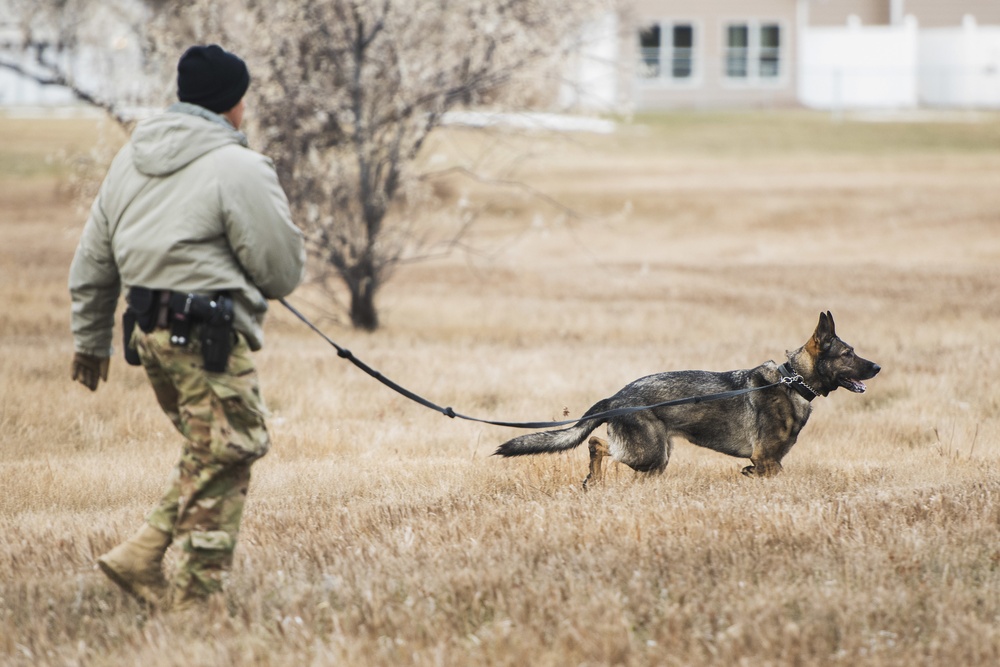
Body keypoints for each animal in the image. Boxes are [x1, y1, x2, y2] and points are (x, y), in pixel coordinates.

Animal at [496, 314, 880, 486]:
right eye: (848, 354)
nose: (877, 366)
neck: (793, 381)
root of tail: (616, 397)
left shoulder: (767, 462)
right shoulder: (768, 459)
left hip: (656, 459)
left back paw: (595, 482)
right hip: (649, 453)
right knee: (597, 444)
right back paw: (595, 478)